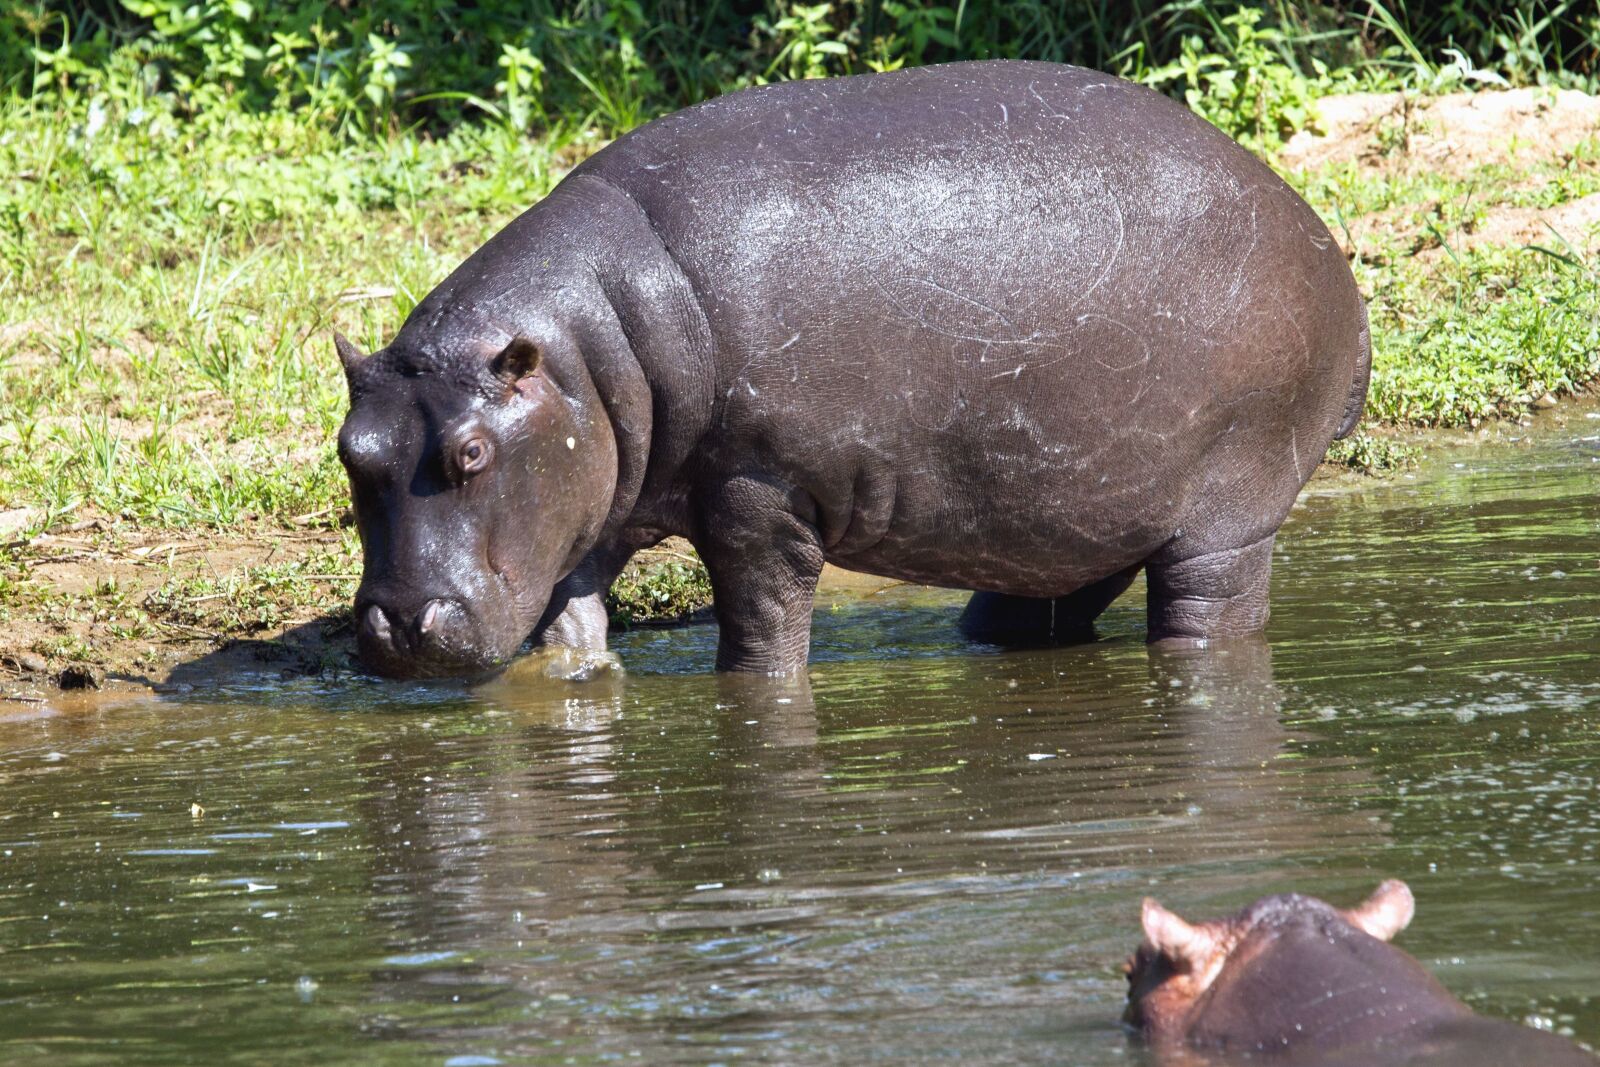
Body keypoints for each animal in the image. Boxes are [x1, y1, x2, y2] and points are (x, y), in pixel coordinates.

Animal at [335, 59, 1371, 678]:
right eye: (351, 450)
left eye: (471, 452)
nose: (395, 626)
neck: (588, 345)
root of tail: (1328, 251)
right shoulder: (590, 500)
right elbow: (569, 628)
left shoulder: (761, 495)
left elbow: (760, 626)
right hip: (1084, 511)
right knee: (1049, 600)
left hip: (1227, 515)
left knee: (1208, 614)